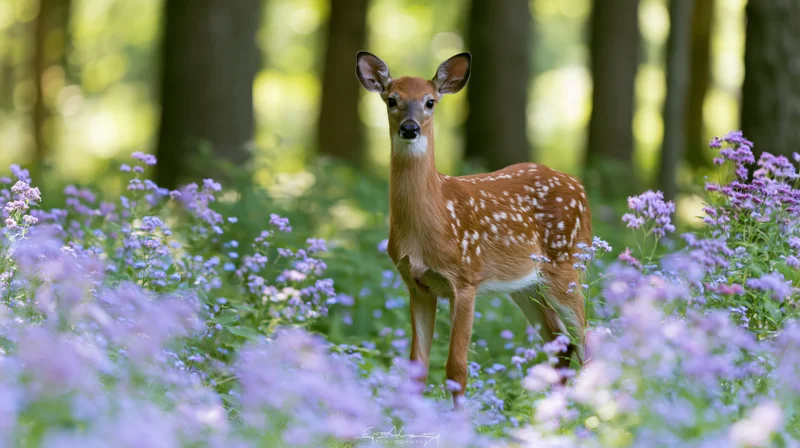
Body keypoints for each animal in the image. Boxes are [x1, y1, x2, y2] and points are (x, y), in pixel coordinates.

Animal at [355, 51, 592, 407]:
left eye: (430, 102)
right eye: (391, 99)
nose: (409, 128)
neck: (433, 220)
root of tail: (580, 187)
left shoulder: (465, 279)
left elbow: (456, 369)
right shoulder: (416, 284)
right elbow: (416, 368)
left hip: (567, 267)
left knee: (591, 342)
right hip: (525, 286)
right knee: (562, 344)